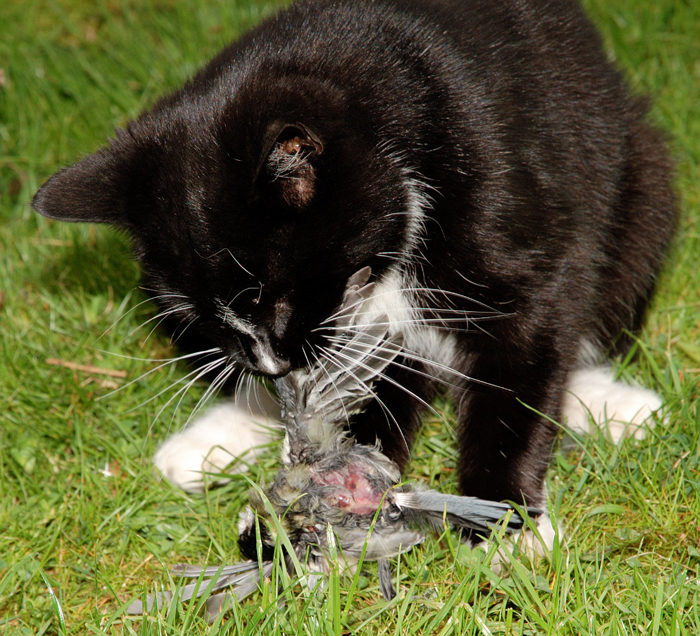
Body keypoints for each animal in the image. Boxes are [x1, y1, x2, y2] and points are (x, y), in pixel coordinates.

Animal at [31, 0, 672, 536]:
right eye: (199, 317)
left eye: (278, 296)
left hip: (643, 189)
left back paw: (611, 403)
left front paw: (504, 525)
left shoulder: (513, 219)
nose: (267, 364)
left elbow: (523, 364)